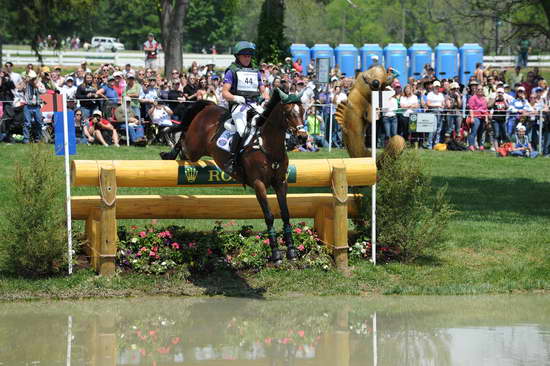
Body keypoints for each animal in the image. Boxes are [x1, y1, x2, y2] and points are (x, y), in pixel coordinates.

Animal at [167, 91, 306, 264]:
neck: (267, 146)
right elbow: (269, 216)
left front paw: (292, 250)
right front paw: (275, 253)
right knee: (183, 140)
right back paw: (169, 149)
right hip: (194, 148)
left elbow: (286, 214)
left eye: (303, 111)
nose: (302, 138)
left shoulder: (280, 183)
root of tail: (210, 106)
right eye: (288, 113)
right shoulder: (259, 184)